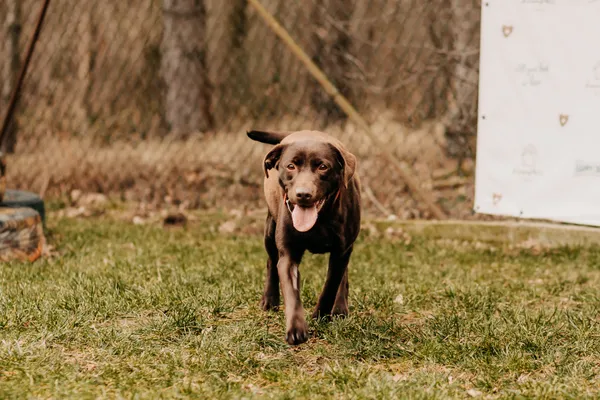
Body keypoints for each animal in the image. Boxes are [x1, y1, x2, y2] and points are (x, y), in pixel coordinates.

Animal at [245, 130, 360, 346]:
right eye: (291, 166)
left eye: (323, 167)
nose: (303, 194)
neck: (320, 219)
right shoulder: (288, 254)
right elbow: (291, 290)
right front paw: (296, 328)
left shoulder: (341, 250)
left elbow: (331, 284)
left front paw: (321, 315)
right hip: (270, 230)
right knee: (271, 261)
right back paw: (269, 300)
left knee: (343, 274)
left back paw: (340, 307)